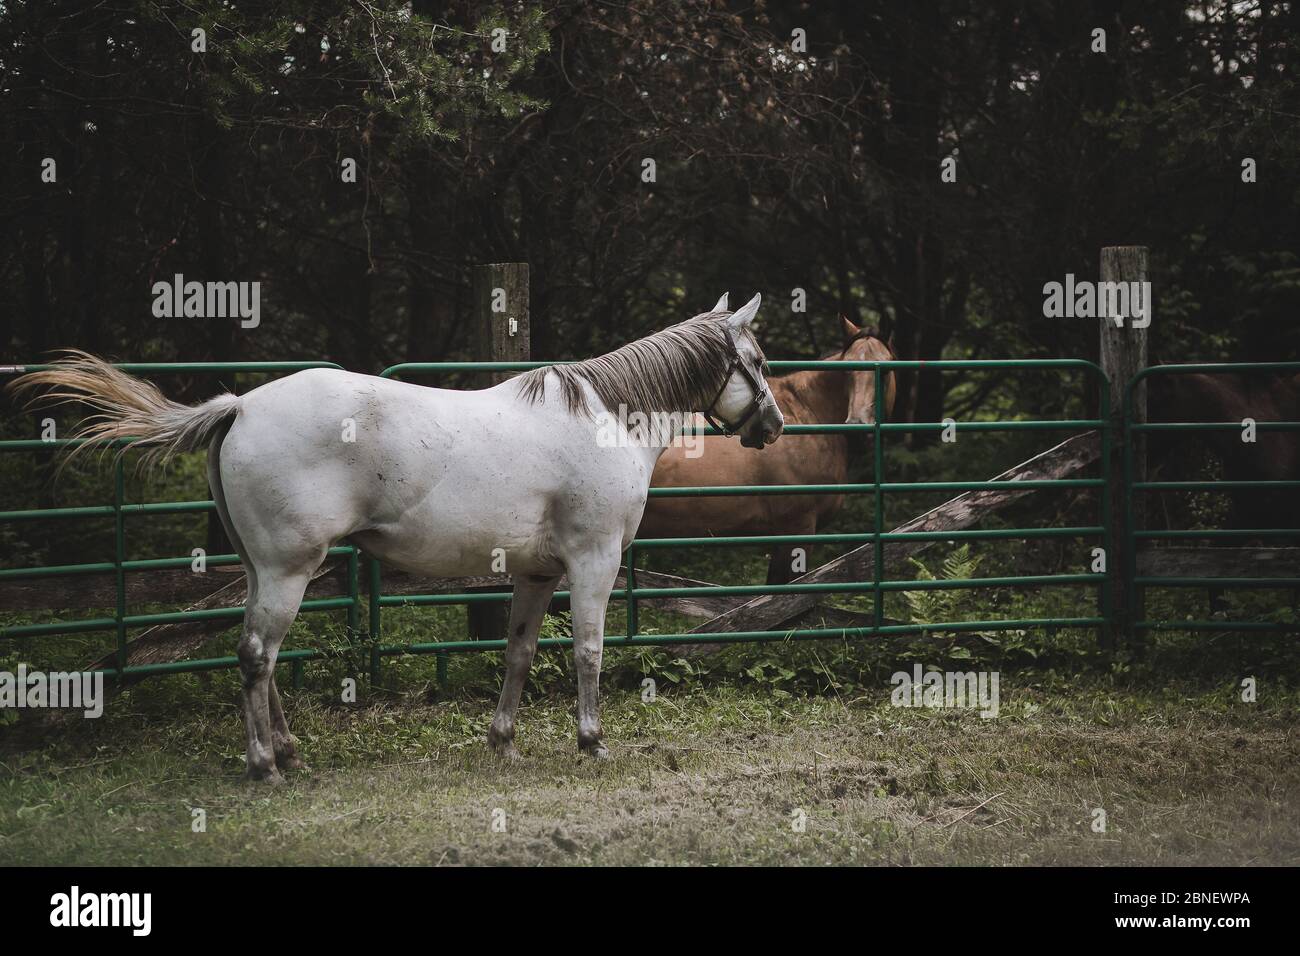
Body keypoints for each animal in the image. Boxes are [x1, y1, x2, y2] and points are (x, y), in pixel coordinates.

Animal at [17, 295, 780, 780]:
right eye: (761, 360)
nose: (772, 428)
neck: (605, 419)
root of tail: (240, 407)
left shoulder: (536, 573)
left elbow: (519, 654)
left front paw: (503, 743)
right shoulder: (592, 563)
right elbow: (588, 653)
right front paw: (591, 742)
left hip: (265, 571)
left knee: (261, 659)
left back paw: (287, 753)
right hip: (290, 571)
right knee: (256, 656)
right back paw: (264, 766)